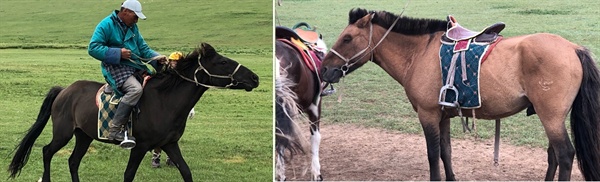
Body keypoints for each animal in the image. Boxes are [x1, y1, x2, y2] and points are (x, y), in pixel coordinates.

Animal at [7, 43, 260, 182]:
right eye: (223, 62)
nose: (255, 78)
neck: (165, 101)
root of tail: (64, 90)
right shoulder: (139, 147)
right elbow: (128, 175)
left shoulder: (169, 144)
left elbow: (186, 172)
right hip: (63, 133)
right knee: (47, 152)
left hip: (84, 135)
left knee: (73, 161)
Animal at [322, 8, 600, 181]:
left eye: (347, 38)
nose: (324, 69)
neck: (419, 53)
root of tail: (573, 48)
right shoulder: (443, 116)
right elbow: (446, 151)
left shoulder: (428, 115)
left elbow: (432, 154)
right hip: (551, 118)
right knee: (553, 156)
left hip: (551, 117)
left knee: (565, 155)